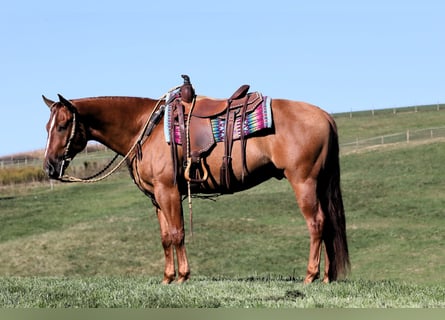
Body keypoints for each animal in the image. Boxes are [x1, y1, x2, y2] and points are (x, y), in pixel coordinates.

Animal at [41, 85, 348, 284]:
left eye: (62, 126)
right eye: (47, 127)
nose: (49, 167)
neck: (146, 127)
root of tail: (325, 116)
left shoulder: (168, 191)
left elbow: (178, 233)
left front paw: (182, 277)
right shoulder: (156, 198)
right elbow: (165, 237)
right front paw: (167, 278)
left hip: (304, 181)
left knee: (316, 224)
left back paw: (310, 276)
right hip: (319, 183)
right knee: (328, 225)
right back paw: (328, 277)